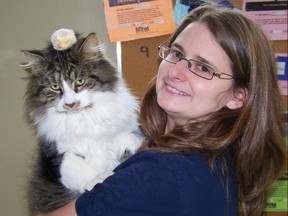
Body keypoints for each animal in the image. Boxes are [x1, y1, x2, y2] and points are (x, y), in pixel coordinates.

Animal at [21, 30, 143, 214]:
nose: (71, 104)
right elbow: (77, 168)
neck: (83, 117)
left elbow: (130, 139)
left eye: (80, 81)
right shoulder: (61, 154)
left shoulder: (122, 132)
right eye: (55, 87)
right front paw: (101, 177)